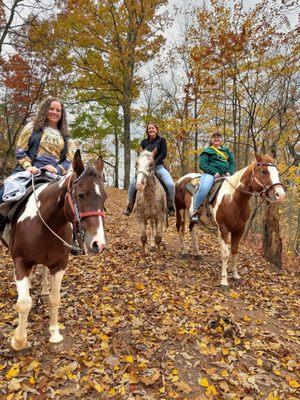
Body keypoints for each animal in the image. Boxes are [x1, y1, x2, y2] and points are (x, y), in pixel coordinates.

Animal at [0, 150, 106, 350]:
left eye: (104, 197)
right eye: (81, 194)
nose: (99, 244)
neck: (42, 223)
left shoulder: (59, 265)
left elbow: (55, 299)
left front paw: (55, 333)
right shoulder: (20, 262)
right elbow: (24, 303)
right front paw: (19, 340)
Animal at [176, 154, 286, 288]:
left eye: (277, 172)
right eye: (264, 171)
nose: (280, 195)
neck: (234, 200)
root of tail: (182, 179)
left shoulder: (239, 230)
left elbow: (234, 251)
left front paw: (235, 275)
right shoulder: (224, 228)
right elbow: (225, 253)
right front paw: (224, 281)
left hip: (194, 217)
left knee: (191, 229)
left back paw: (197, 253)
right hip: (180, 210)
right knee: (179, 228)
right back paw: (184, 251)